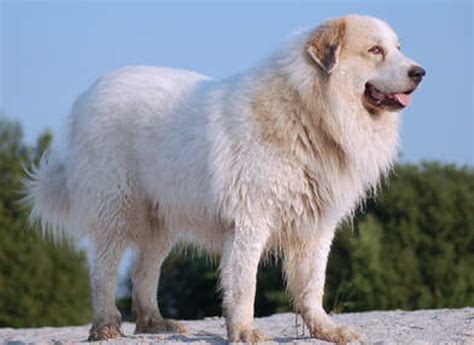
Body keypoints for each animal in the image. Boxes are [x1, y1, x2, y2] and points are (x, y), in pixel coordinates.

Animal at [25, 14, 424, 342]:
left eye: (398, 48)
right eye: (375, 50)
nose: (420, 72)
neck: (309, 112)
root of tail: (90, 93)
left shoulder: (315, 227)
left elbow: (312, 285)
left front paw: (326, 329)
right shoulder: (251, 221)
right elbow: (244, 284)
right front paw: (245, 332)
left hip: (162, 219)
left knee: (143, 271)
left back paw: (154, 323)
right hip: (117, 210)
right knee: (104, 272)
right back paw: (106, 326)